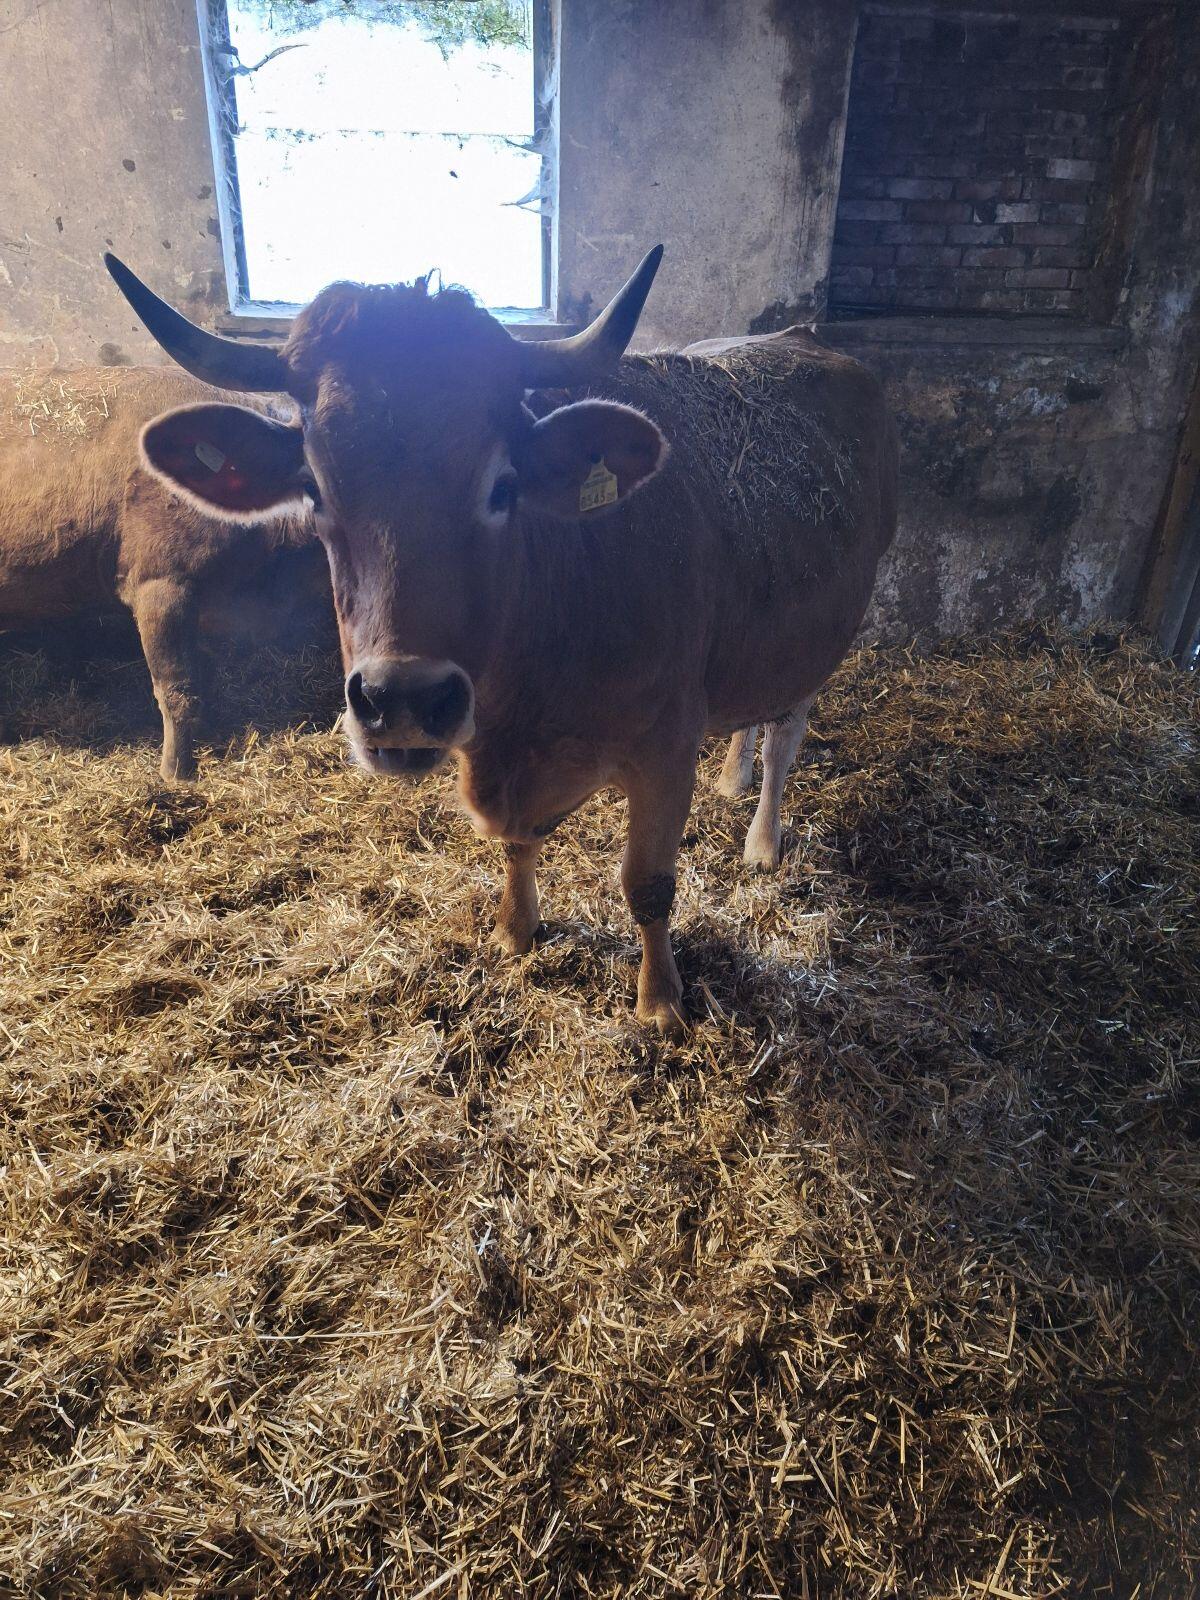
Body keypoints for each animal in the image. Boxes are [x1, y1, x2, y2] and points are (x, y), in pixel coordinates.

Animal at [105, 248, 898, 1035]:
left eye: (502, 485)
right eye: (313, 489)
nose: (402, 700)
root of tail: (803, 337)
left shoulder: (666, 743)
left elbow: (648, 884)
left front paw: (660, 1002)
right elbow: (519, 844)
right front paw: (516, 931)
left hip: (831, 627)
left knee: (786, 733)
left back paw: (761, 840)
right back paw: (732, 777)